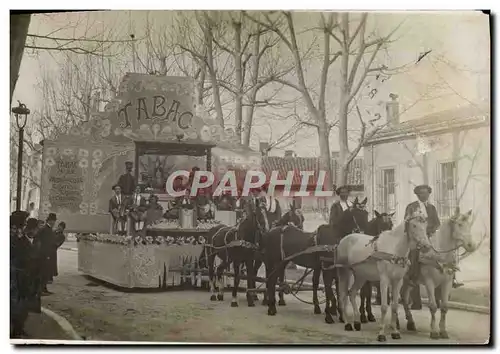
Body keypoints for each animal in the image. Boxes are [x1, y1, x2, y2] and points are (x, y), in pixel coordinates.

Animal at [334, 210, 432, 342]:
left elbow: (394, 306)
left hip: (361, 276)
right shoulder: (384, 279)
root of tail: (343, 239)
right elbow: (384, 306)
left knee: (352, 293)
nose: (426, 246)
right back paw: (347, 323)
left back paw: (357, 322)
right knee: (343, 295)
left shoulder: (398, 281)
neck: (394, 249)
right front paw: (381, 333)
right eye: (414, 225)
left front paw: (395, 332)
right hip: (344, 271)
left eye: (425, 226)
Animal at [398, 207, 476, 340]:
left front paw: (443, 331)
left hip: (409, 281)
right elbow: (433, 306)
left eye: (469, 225)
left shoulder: (447, 283)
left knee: (404, 297)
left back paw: (411, 323)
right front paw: (433, 331)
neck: (440, 254)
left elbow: (444, 306)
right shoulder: (429, 282)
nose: (472, 245)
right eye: (459, 224)